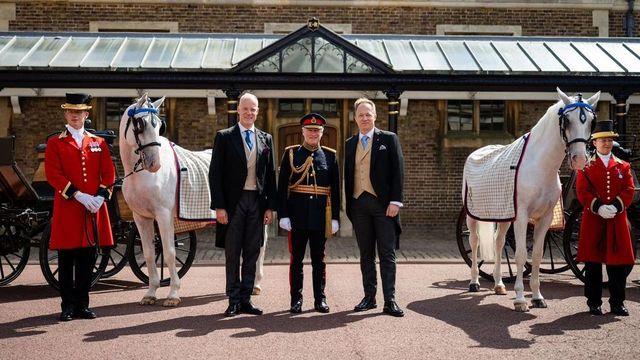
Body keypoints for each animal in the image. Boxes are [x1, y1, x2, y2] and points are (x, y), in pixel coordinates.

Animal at [120, 93, 181, 306]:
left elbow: (169, 252)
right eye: (140, 124)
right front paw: (151, 292)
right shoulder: (141, 217)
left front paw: (173, 294)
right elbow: (149, 254)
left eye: (159, 125)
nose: (155, 164)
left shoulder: (164, 215)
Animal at [462, 88, 596, 312]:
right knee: (474, 241)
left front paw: (537, 297)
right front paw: (520, 299)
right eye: (567, 120)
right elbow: (521, 255)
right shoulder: (522, 216)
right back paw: (474, 282)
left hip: (504, 215)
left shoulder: (545, 218)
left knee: (499, 242)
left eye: (592, 121)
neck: (539, 165)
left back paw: (499, 284)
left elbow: (537, 255)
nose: (579, 159)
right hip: (472, 216)